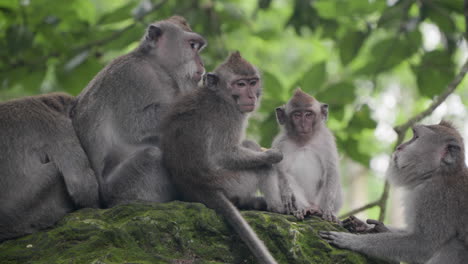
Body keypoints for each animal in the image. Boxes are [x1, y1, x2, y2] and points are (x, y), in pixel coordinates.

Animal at [72, 15, 207, 207]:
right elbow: (135, 124)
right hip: (122, 186)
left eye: (198, 47)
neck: (157, 66)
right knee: (152, 156)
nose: (201, 63)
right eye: (192, 45)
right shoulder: (134, 77)